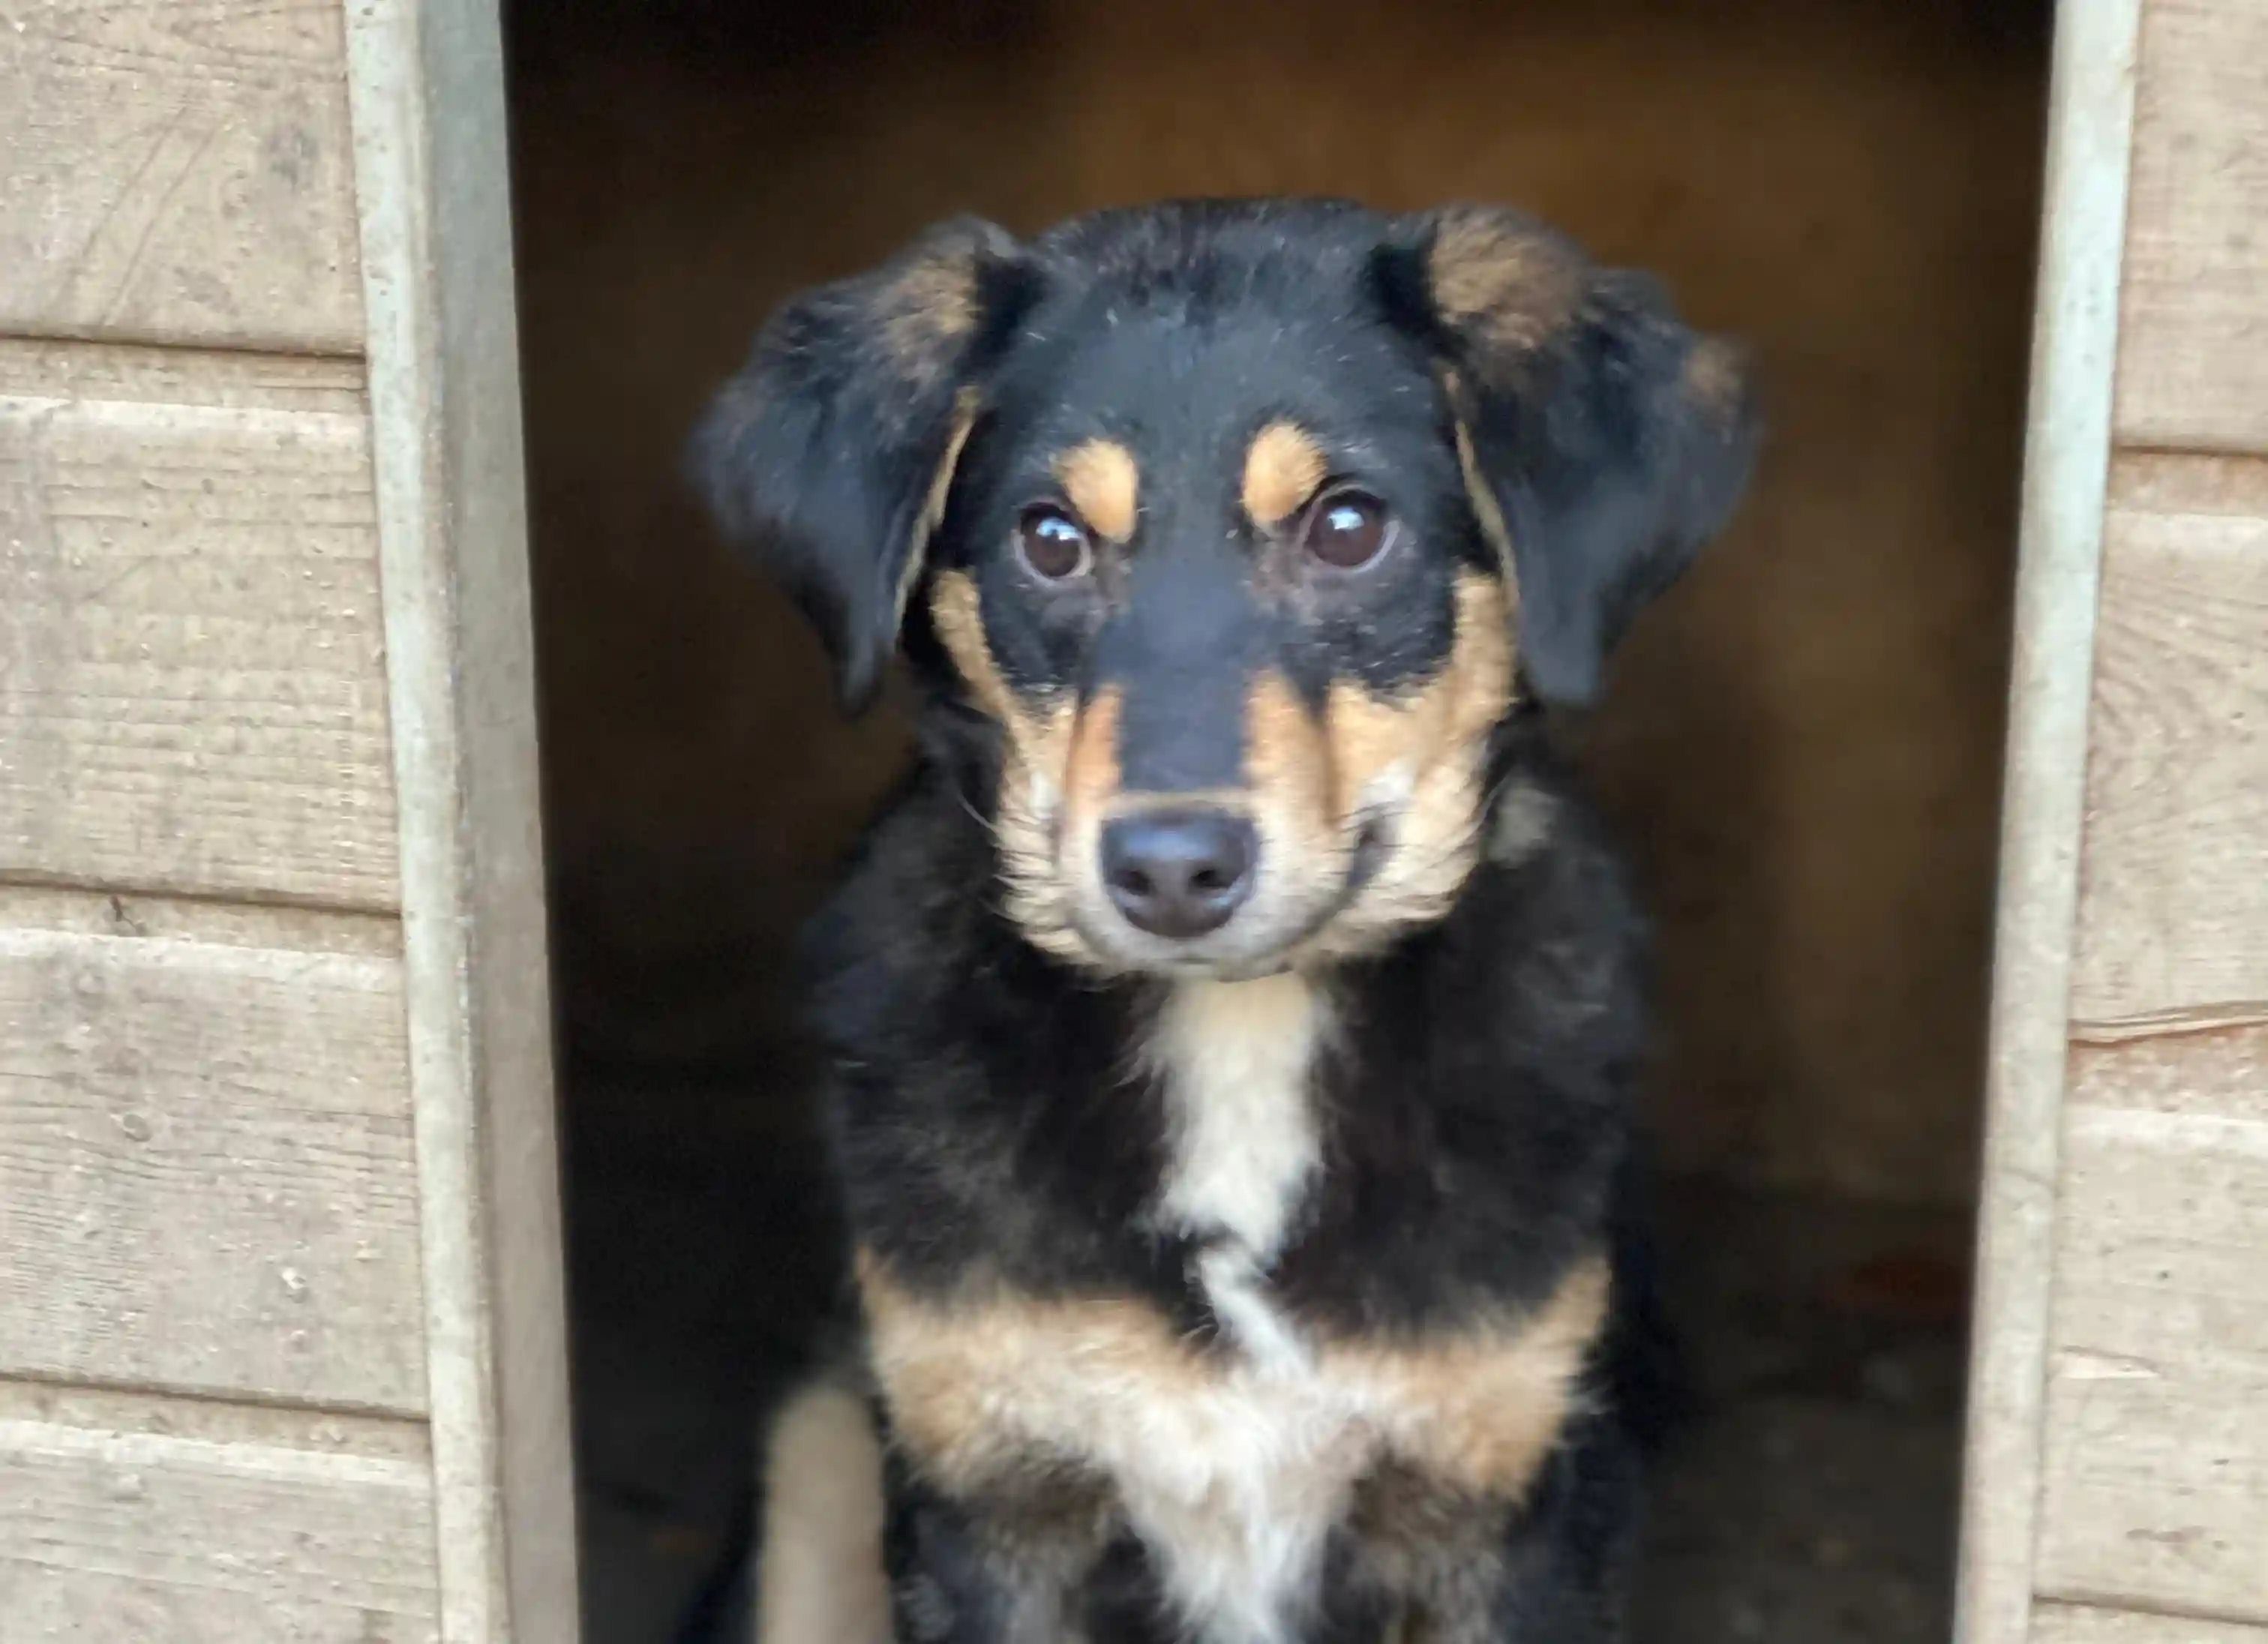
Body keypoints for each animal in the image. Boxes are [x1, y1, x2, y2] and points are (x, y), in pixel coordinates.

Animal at [690, 197, 1756, 1644]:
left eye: (1348, 526)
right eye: (1048, 539)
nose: (1171, 867)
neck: (1240, 1030)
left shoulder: (1508, 1504)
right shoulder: (984, 1498)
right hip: (814, 1463)